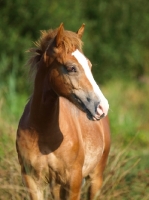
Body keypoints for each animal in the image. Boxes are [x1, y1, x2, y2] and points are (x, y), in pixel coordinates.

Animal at [16, 23, 110, 200]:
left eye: (89, 65)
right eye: (71, 68)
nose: (102, 107)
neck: (42, 132)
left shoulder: (73, 180)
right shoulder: (32, 180)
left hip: (95, 178)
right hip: (56, 185)